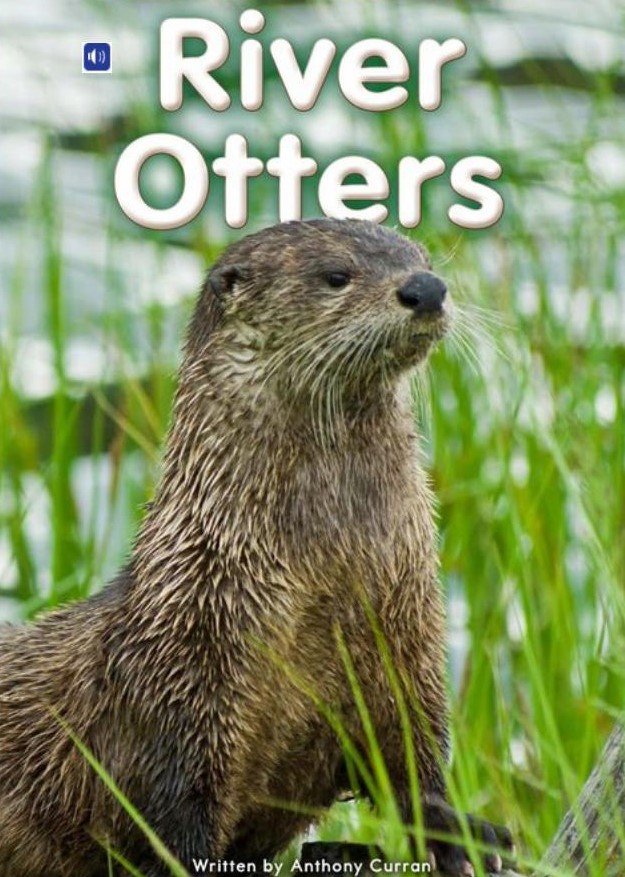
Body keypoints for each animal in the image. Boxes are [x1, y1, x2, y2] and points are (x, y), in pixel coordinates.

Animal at [0, 219, 512, 877]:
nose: (426, 288)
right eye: (336, 275)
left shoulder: (409, 643)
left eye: (419, 257)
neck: (323, 594)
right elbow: (172, 828)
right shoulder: (179, 700)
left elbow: (414, 766)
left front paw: (463, 831)